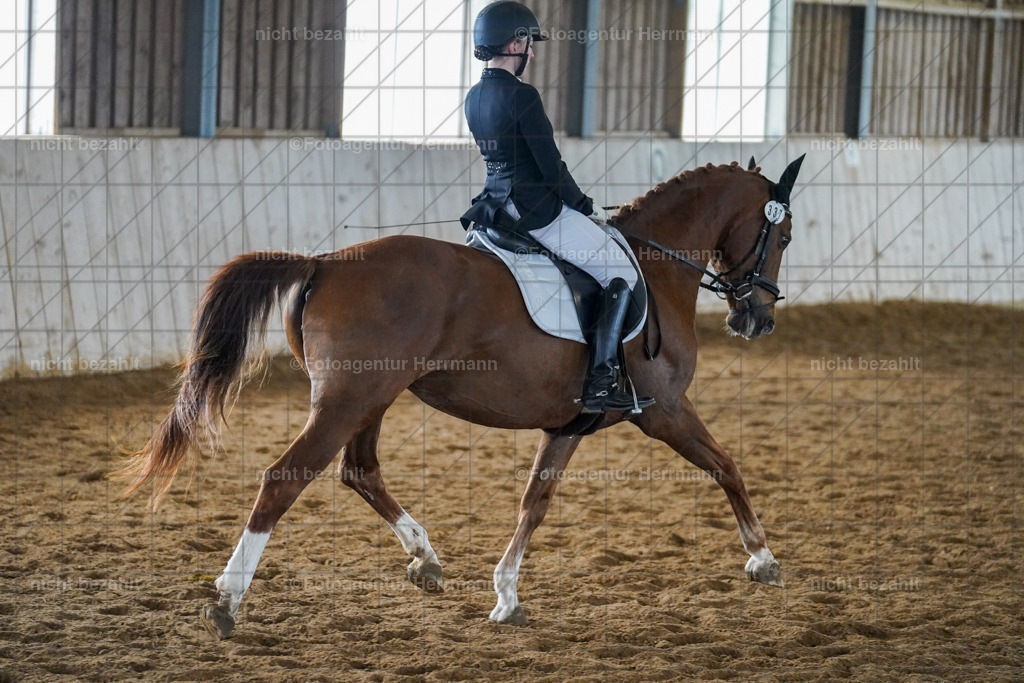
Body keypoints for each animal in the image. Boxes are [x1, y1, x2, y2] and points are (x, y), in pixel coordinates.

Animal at [118, 155, 806, 639]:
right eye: (784, 236)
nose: (758, 319)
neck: (656, 269)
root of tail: (327, 261)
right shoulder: (664, 412)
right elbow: (727, 466)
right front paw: (764, 560)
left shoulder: (569, 425)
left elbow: (535, 501)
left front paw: (505, 596)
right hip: (348, 401)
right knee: (285, 479)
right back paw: (226, 601)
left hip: (370, 398)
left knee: (359, 470)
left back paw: (425, 561)